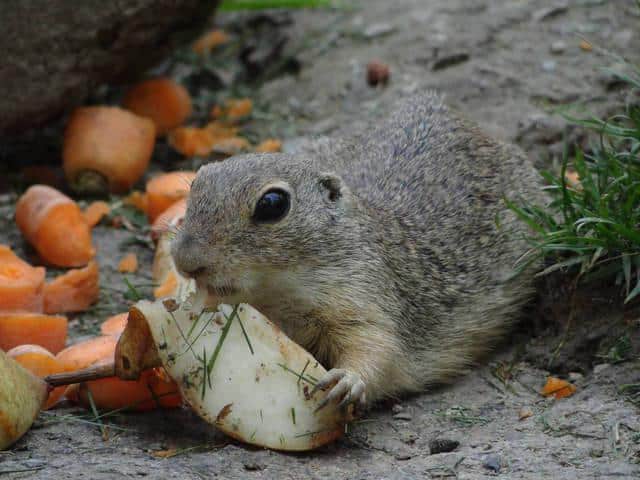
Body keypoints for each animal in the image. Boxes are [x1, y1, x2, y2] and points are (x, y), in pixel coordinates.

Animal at [172, 93, 548, 408]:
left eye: (273, 204)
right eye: (196, 184)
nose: (185, 261)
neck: (281, 289)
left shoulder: (365, 296)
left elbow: (376, 348)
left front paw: (346, 381)